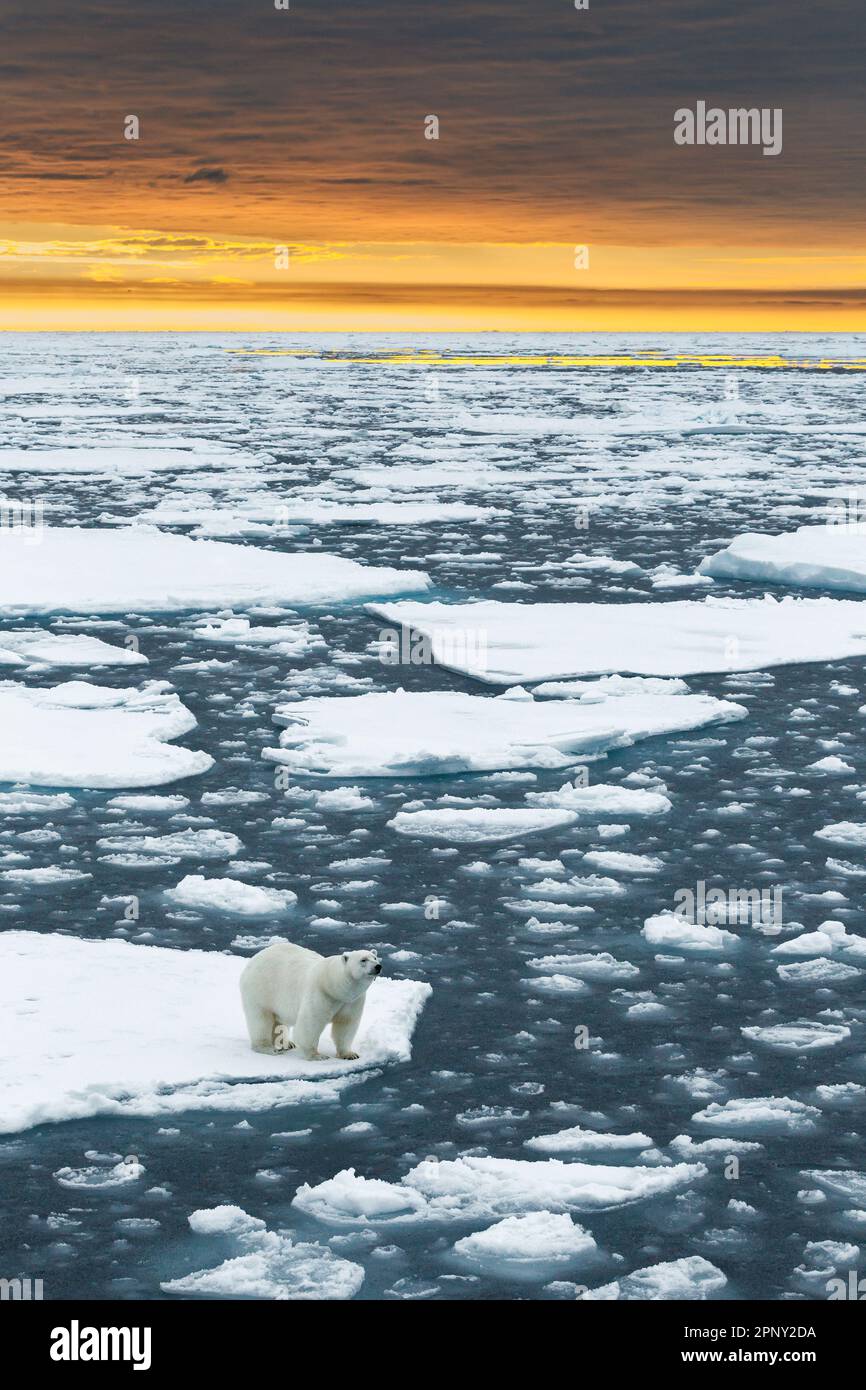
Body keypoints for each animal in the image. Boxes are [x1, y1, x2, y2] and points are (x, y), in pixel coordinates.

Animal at [240, 941, 382, 1061]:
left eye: (374, 957)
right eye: (363, 960)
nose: (378, 966)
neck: (334, 985)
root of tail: (255, 958)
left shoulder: (352, 1001)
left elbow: (346, 1024)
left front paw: (350, 1054)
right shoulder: (321, 994)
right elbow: (310, 1024)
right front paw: (317, 1055)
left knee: (278, 1020)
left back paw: (287, 1043)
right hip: (261, 989)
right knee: (261, 1019)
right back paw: (267, 1048)